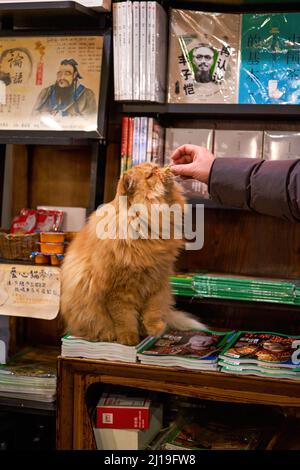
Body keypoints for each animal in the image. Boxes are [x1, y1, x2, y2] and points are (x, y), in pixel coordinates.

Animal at [61, 162, 206, 346]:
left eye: (156, 166)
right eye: (150, 174)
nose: (163, 168)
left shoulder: (156, 282)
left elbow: (152, 311)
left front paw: (155, 330)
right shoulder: (119, 291)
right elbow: (124, 318)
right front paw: (129, 339)